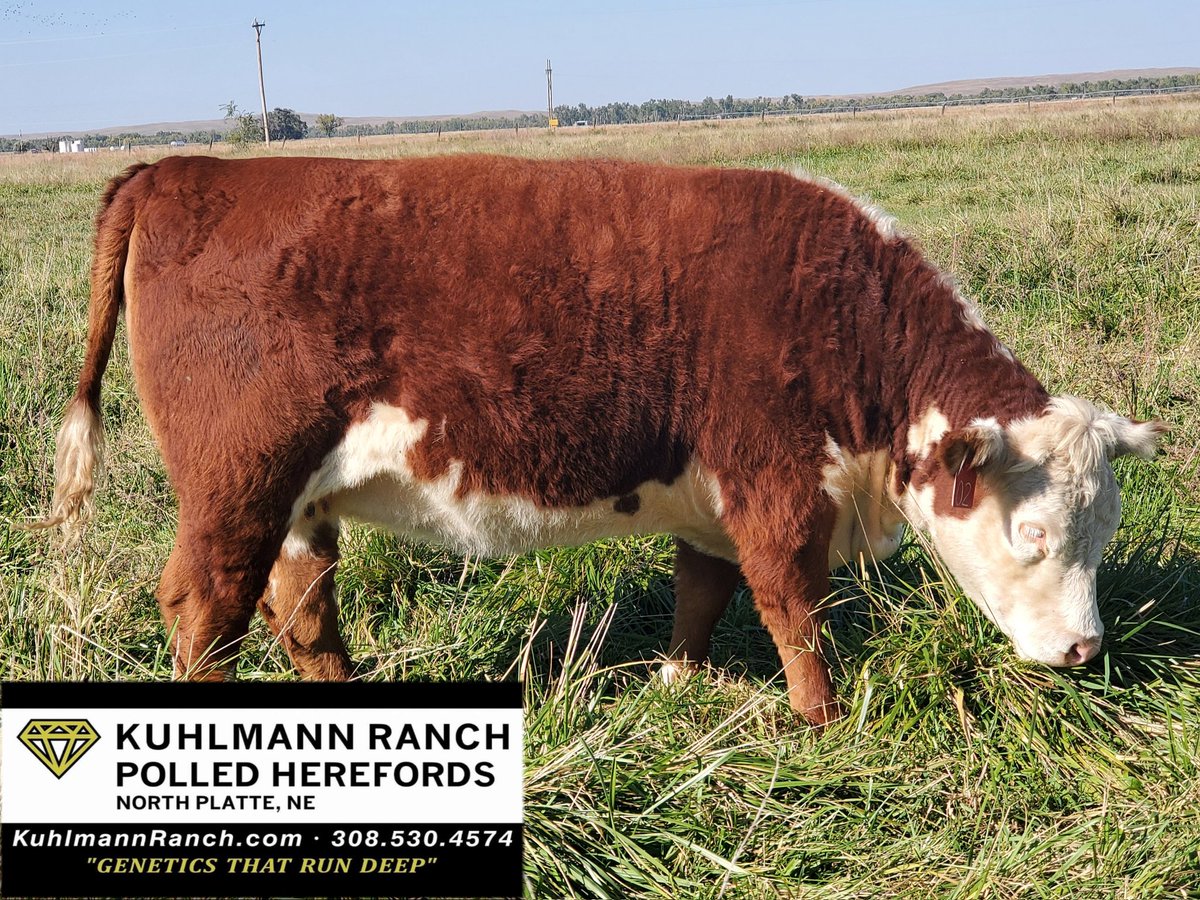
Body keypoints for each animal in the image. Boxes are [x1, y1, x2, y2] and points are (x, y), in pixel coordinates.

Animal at [35, 155, 1163, 725]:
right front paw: (822, 720)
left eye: (1105, 533)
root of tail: (178, 166)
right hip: (239, 479)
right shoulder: (775, 481)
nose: (1085, 649)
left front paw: (679, 683)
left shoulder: (711, 492)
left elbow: (704, 587)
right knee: (207, 606)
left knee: (302, 609)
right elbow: (792, 603)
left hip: (295, 495)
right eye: (1029, 536)